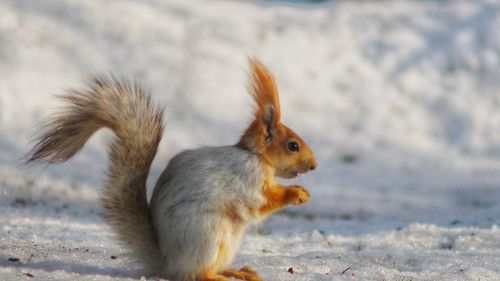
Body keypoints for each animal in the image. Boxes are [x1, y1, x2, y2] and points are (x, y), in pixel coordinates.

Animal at [25, 58, 316, 278]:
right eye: (293, 146)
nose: (314, 165)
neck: (256, 157)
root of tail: (167, 262)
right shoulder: (247, 178)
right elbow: (260, 201)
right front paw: (296, 193)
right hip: (209, 234)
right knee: (196, 274)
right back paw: (219, 276)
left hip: (227, 241)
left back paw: (236, 271)